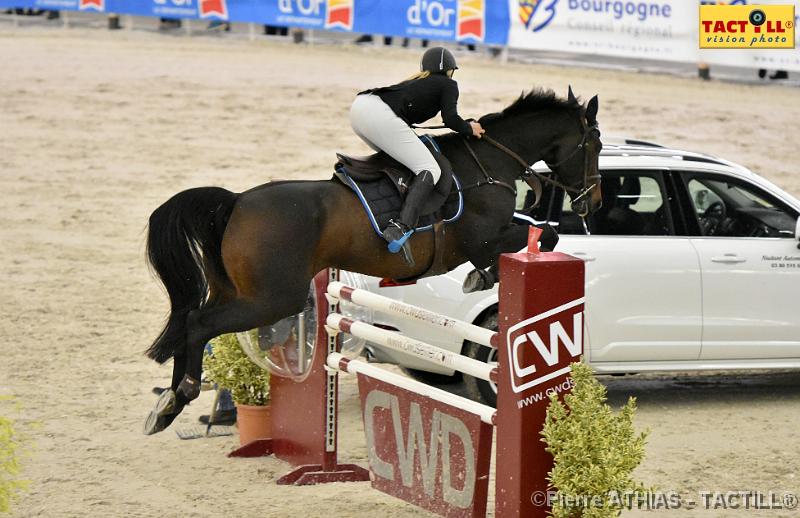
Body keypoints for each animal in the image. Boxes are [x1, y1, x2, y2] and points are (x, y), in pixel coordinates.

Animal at [142, 87, 600, 436]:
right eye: (593, 145)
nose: (592, 202)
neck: (490, 162)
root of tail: (236, 201)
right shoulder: (483, 238)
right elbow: (543, 235)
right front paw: (482, 277)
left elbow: (539, 233)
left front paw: (481, 278)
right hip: (271, 299)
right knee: (199, 323)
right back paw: (179, 396)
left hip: (245, 291)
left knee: (190, 321)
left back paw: (165, 405)